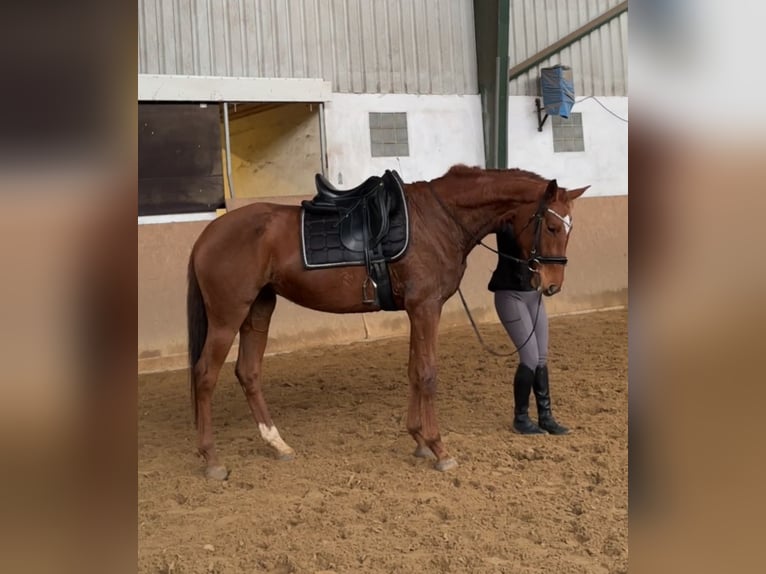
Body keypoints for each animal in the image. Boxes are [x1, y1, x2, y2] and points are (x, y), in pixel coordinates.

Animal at [187, 164, 588, 479]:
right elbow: (428, 373)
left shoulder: (416, 310)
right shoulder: (426, 308)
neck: (440, 219)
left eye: (570, 229)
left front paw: (418, 439)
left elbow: (413, 371)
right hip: (227, 316)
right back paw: (212, 459)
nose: (552, 285)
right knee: (205, 375)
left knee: (248, 373)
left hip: (258, 309)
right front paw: (439, 448)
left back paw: (278, 444)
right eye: (553, 228)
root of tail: (208, 235)